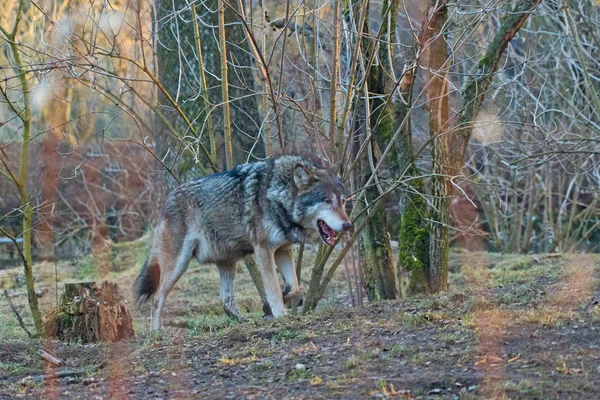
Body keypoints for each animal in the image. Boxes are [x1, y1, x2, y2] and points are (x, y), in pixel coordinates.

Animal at [135, 155, 352, 330]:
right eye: (326, 201)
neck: (277, 195)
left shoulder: (283, 249)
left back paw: (243, 321)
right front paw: (280, 314)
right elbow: (273, 287)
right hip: (178, 266)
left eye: (342, 201)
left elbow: (294, 287)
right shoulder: (263, 250)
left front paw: (268, 307)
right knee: (157, 298)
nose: (348, 225)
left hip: (229, 263)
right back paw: (156, 333)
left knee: (226, 300)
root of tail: (166, 201)